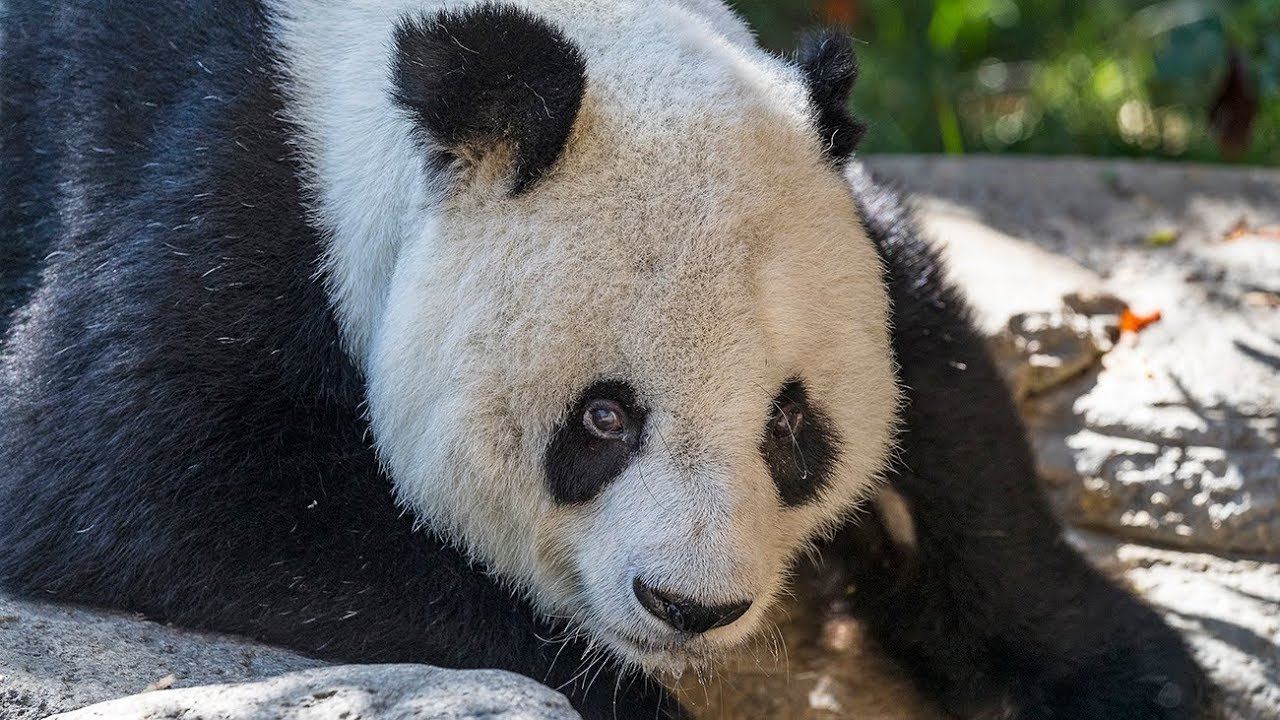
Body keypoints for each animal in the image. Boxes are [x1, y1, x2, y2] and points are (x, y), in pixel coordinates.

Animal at [0, 1, 1204, 719]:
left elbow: (941, 382)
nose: (691, 607)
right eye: (604, 418)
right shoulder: (213, 184)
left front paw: (1134, 676)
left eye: (791, 427)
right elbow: (141, 475)